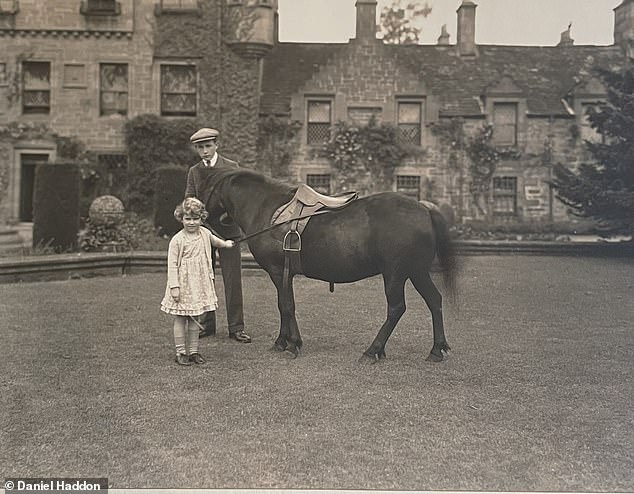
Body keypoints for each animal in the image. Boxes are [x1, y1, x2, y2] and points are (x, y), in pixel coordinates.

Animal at [201, 170, 454, 362]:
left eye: (206, 191)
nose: (200, 215)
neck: (266, 208)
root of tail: (424, 208)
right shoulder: (283, 275)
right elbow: (284, 305)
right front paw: (283, 341)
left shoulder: (277, 271)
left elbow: (286, 306)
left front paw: (292, 343)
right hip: (416, 272)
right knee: (434, 301)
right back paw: (436, 349)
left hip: (395, 274)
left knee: (396, 309)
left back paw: (372, 350)